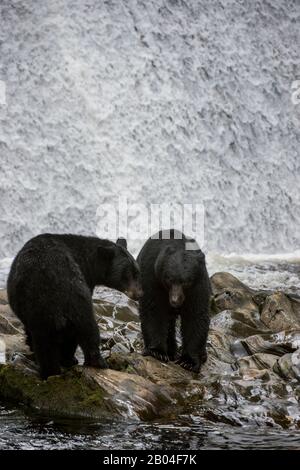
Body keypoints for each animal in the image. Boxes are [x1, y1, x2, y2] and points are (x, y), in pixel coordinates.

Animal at [7, 233, 142, 380]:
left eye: (137, 272)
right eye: (127, 275)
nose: (140, 294)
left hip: (48, 311)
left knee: (51, 344)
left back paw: (54, 370)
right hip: (76, 305)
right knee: (85, 331)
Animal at [137, 229, 210, 372]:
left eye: (186, 282)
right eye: (169, 279)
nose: (175, 301)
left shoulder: (199, 283)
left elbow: (196, 315)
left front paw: (188, 361)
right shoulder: (152, 275)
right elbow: (153, 309)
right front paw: (157, 352)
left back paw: (202, 355)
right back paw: (171, 351)